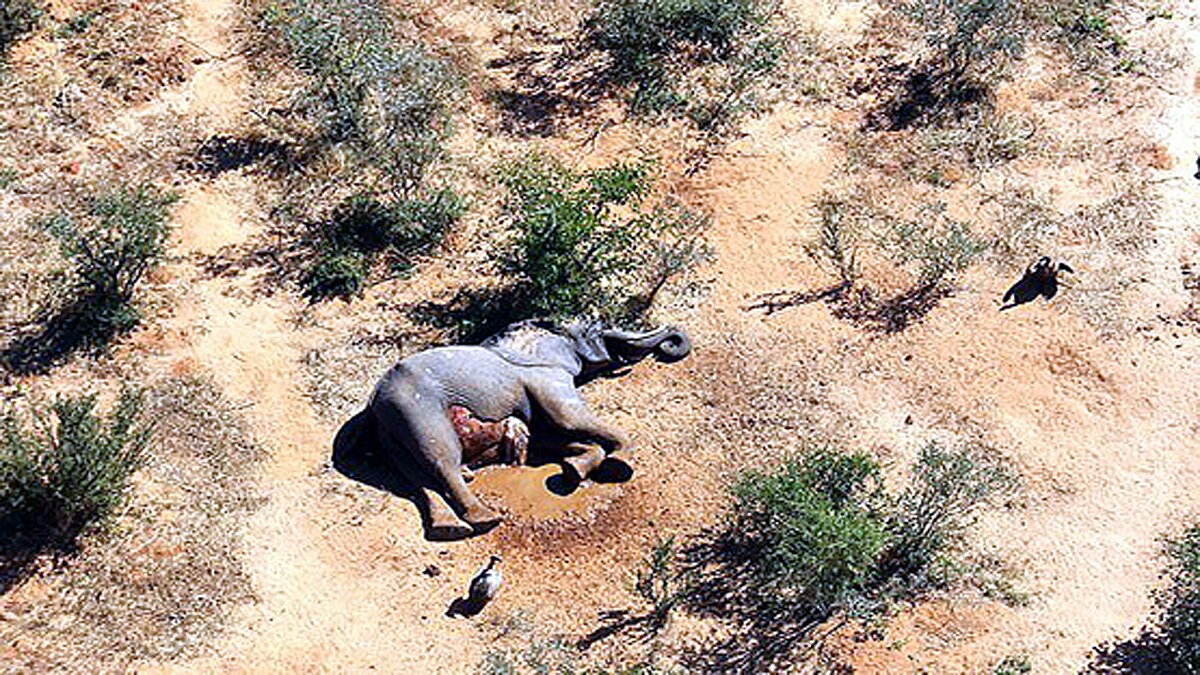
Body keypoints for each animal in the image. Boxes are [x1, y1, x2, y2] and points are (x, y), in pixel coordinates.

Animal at [351, 319, 691, 540]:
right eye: (598, 328)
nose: (670, 341)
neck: (551, 332)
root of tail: (373, 402)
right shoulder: (546, 376)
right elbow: (567, 418)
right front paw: (621, 462)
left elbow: (549, 435)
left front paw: (573, 470)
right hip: (414, 408)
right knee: (441, 459)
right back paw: (485, 518)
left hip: (391, 427)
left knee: (415, 476)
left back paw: (450, 528)